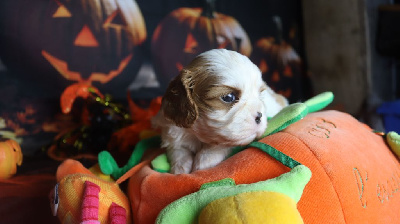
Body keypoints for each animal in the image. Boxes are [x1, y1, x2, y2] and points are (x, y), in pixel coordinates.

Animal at [152, 48, 288, 175]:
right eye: (228, 97)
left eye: (260, 95)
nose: (260, 116)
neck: (199, 135)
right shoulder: (173, 132)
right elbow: (178, 150)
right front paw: (180, 168)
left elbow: (221, 145)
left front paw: (204, 160)